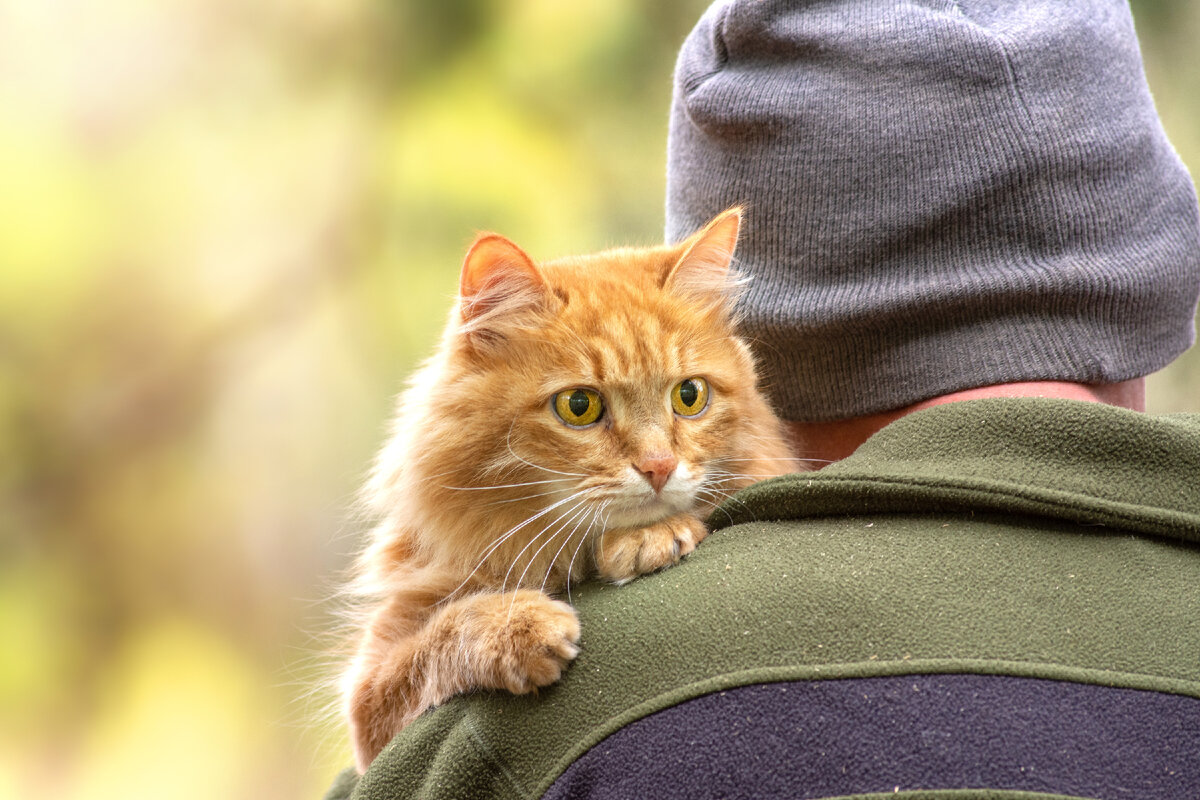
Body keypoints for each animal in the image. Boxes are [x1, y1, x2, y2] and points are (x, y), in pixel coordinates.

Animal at [343, 209, 801, 772]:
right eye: (579, 406)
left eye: (689, 396)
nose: (659, 466)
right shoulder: (369, 696)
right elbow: (442, 635)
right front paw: (518, 628)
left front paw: (649, 538)